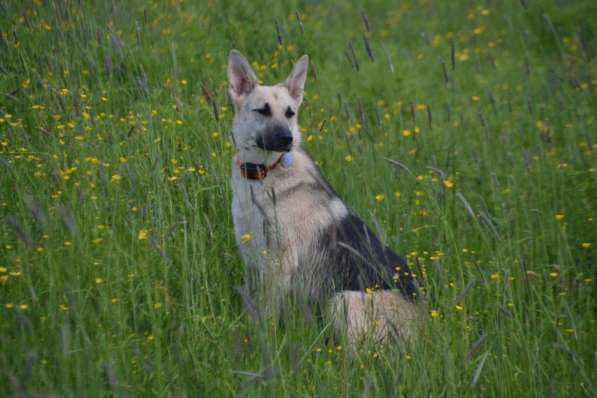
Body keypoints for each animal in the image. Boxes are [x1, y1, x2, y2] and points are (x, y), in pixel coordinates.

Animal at [228, 50, 424, 346]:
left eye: (290, 113)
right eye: (262, 110)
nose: (287, 139)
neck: (265, 173)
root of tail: (429, 329)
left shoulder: (278, 266)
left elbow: (266, 316)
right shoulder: (254, 262)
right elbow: (253, 307)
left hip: (341, 301)